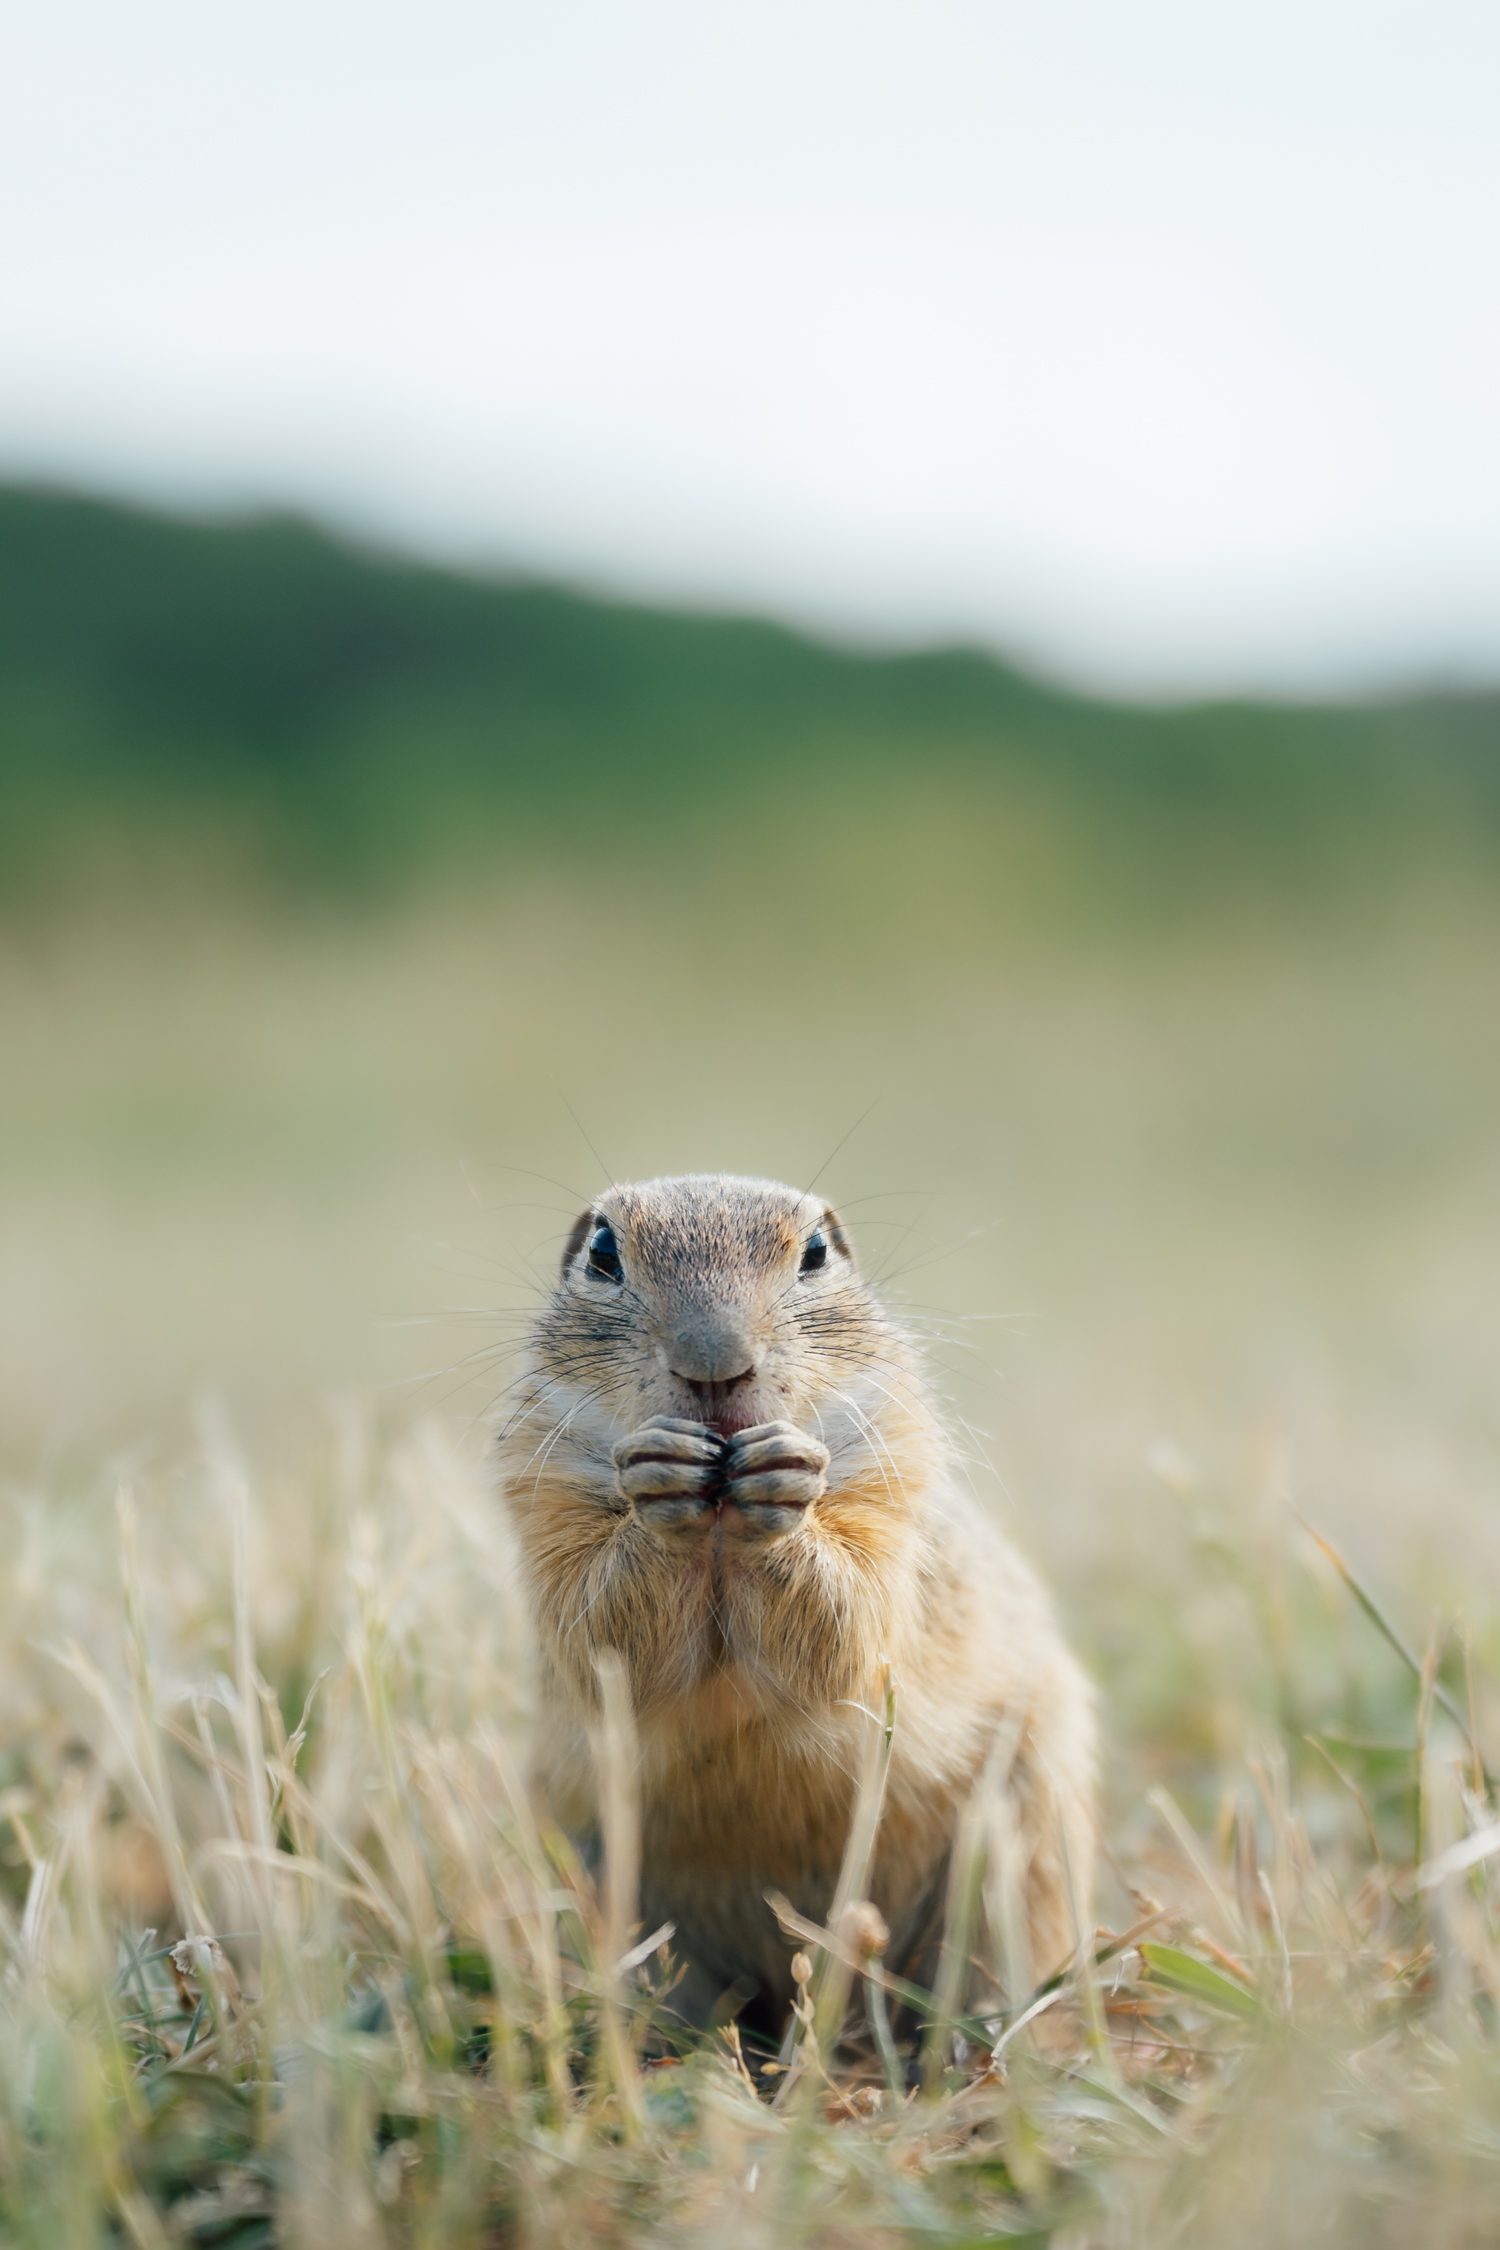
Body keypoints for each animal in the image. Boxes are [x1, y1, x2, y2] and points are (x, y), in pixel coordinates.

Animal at [498, 1173, 1096, 2037]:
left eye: (814, 1253)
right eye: (604, 1253)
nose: (716, 1366)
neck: (720, 1527)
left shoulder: (892, 1483)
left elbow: (848, 1624)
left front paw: (785, 1488)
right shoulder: (543, 1491)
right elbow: (602, 1636)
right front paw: (658, 1481)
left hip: (1022, 1844)